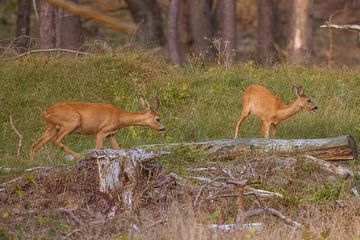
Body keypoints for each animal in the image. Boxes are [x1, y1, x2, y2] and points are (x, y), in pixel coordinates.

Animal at [30, 96, 165, 160]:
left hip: (51, 127)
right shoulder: (101, 131)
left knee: (35, 145)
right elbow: (98, 148)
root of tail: (46, 111)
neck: (119, 116)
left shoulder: (111, 134)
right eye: (157, 118)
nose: (163, 129)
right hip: (72, 121)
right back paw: (79, 156)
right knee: (56, 141)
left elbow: (118, 149)